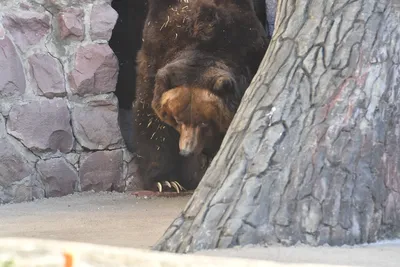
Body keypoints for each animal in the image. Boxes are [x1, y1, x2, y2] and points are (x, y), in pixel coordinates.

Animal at [132, 0, 268, 194]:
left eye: (205, 122)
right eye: (177, 119)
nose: (186, 151)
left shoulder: (249, 48)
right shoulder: (156, 50)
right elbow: (151, 121)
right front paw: (165, 181)